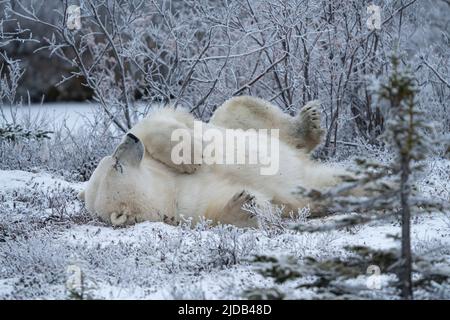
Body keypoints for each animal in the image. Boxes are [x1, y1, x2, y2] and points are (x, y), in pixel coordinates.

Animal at [79, 95, 342, 228]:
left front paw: (190, 157)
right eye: (117, 164)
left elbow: (157, 121)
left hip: (233, 124)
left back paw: (308, 122)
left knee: (236, 107)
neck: (166, 187)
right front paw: (243, 204)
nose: (129, 139)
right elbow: (230, 207)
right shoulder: (184, 206)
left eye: (111, 159)